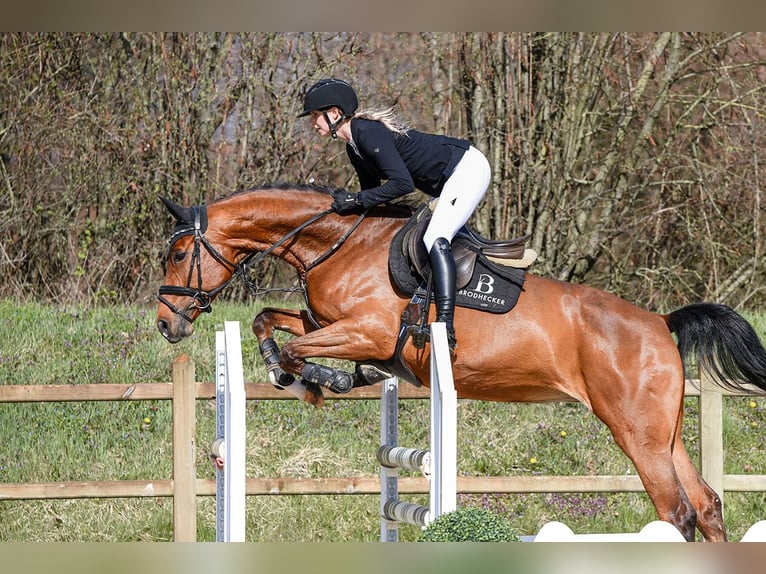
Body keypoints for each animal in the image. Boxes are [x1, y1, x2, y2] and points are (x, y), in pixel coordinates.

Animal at [156, 183, 766, 542]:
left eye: (180, 254)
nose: (166, 324)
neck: (339, 244)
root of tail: (661, 323)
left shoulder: (366, 332)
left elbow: (297, 348)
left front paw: (312, 380)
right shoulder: (333, 326)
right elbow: (270, 321)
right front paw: (295, 374)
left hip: (635, 432)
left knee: (677, 512)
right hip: (664, 433)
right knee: (706, 505)